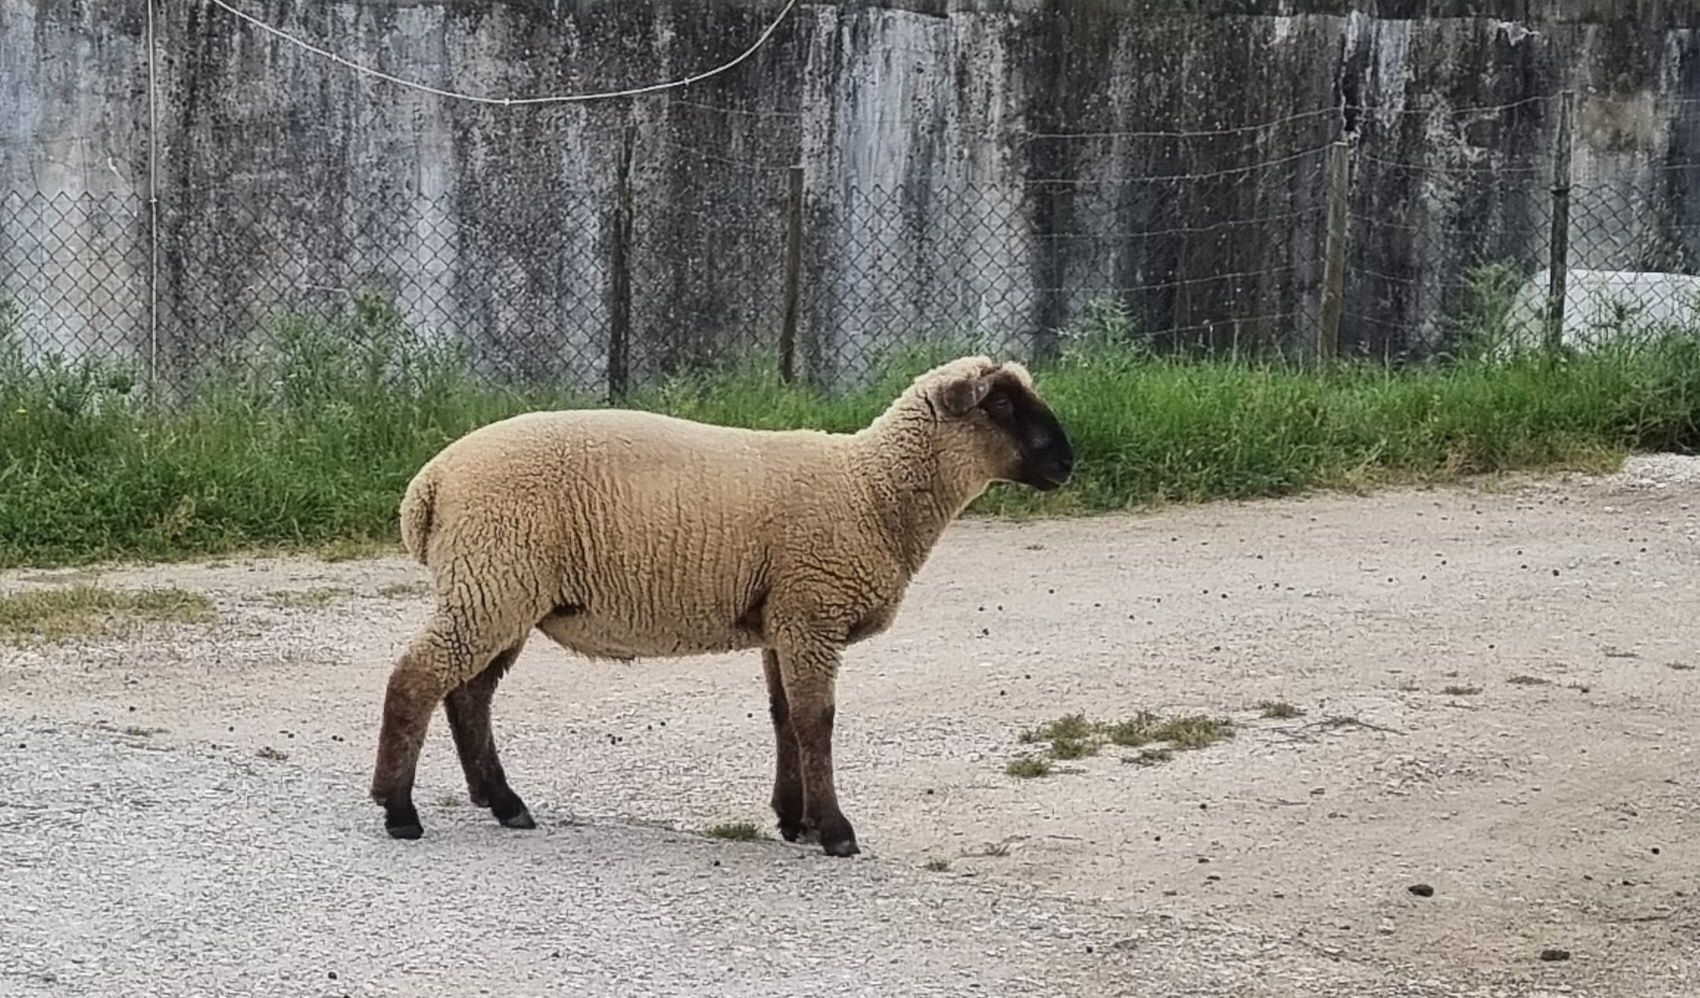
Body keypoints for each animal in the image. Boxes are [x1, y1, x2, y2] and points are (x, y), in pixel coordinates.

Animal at [372, 357, 1074, 860]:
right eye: (1001, 404)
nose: (1067, 461)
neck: (874, 489)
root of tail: (430, 484)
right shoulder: (812, 612)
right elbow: (817, 722)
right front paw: (836, 831)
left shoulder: (785, 619)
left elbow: (785, 719)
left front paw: (794, 819)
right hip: (492, 581)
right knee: (416, 680)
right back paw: (399, 810)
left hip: (502, 589)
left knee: (468, 695)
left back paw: (504, 803)